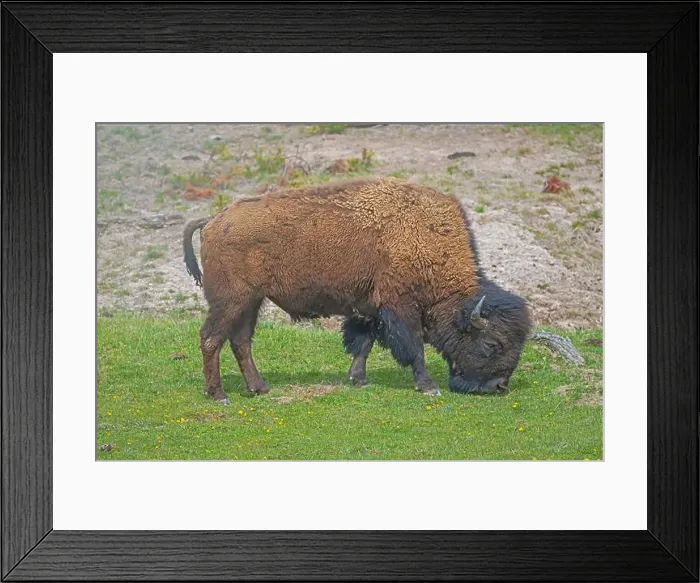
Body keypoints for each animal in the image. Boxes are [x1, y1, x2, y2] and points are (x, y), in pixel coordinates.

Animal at [183, 177, 532, 403]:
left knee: (240, 341)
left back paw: (259, 388)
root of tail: (213, 220)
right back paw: (219, 395)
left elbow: (363, 343)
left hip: (251, 302)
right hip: (231, 301)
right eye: (492, 344)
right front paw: (427, 386)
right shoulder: (399, 306)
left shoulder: (369, 307)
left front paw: (358, 379)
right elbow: (414, 346)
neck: (425, 238)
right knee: (211, 338)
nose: (499, 387)